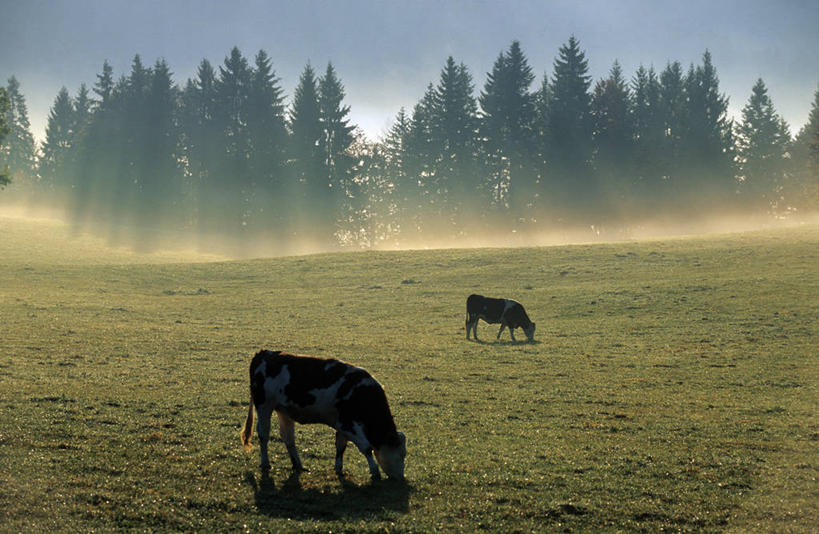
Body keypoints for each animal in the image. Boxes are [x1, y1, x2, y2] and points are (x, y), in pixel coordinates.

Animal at [240, 350, 406, 484]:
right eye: (400, 455)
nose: (401, 478)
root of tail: (264, 353)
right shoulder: (347, 423)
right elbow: (366, 447)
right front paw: (374, 471)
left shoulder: (341, 424)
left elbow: (341, 446)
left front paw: (339, 468)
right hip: (264, 406)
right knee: (263, 434)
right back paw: (265, 463)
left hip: (283, 410)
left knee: (288, 438)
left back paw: (298, 465)